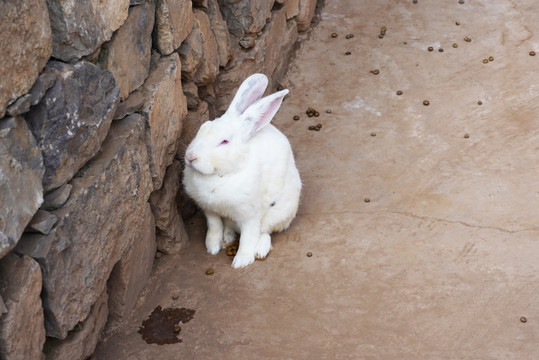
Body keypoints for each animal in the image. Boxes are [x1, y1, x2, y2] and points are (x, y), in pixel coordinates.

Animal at [184, 73, 302, 268]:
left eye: (224, 141)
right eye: (203, 127)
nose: (190, 157)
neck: (221, 175)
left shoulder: (250, 216)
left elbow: (249, 236)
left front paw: (241, 261)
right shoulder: (210, 211)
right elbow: (214, 228)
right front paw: (212, 247)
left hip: (278, 213)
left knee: (265, 232)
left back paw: (259, 251)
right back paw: (227, 239)